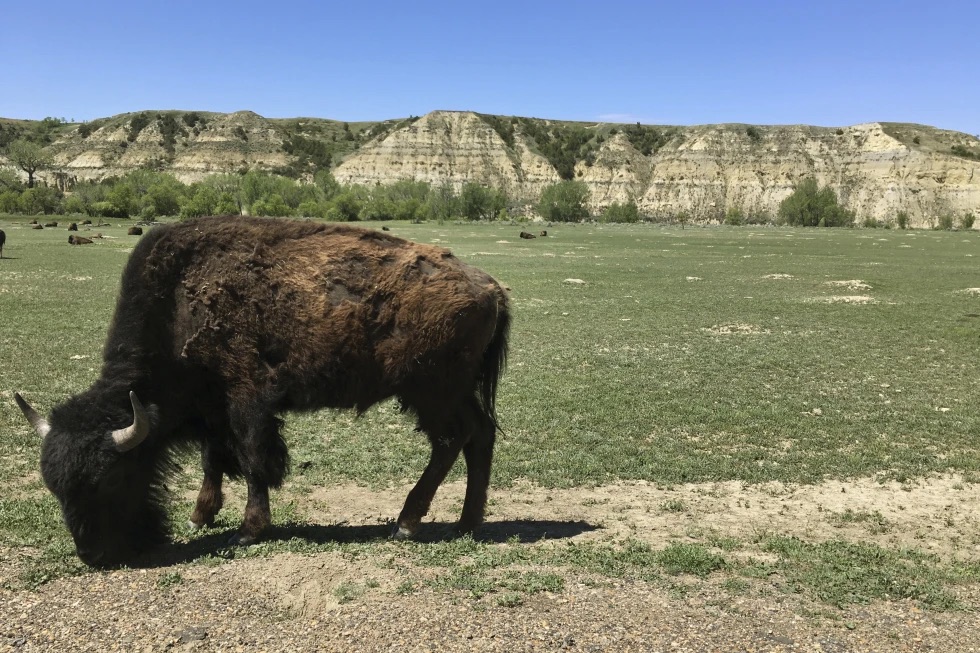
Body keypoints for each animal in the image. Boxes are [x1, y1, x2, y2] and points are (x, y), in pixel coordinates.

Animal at [16, 216, 510, 567]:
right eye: (55, 488)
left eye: (113, 477)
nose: (93, 555)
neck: (177, 305)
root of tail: (491, 288)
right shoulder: (212, 408)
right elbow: (215, 459)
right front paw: (200, 515)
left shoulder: (247, 400)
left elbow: (254, 460)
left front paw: (248, 530)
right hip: (452, 392)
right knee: (479, 435)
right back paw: (467, 523)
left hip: (431, 392)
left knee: (451, 441)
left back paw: (407, 523)